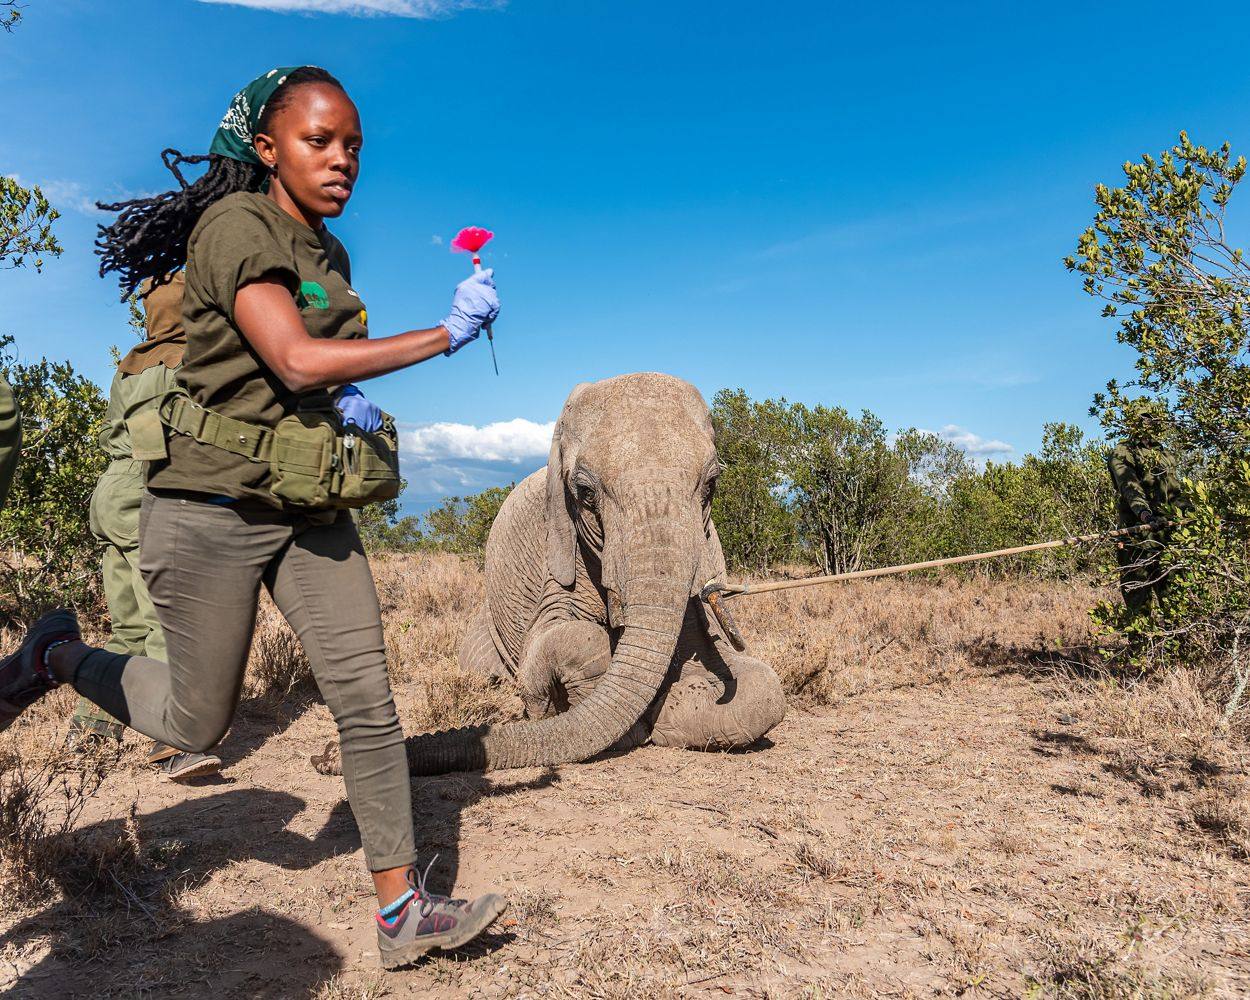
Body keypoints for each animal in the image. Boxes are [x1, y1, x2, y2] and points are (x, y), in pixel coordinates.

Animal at [312, 373, 786, 777]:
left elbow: (758, 689)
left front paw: (670, 708)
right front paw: (570, 705)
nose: (324, 755)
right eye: (586, 494)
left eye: (711, 486)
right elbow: (562, 634)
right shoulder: (559, 551)